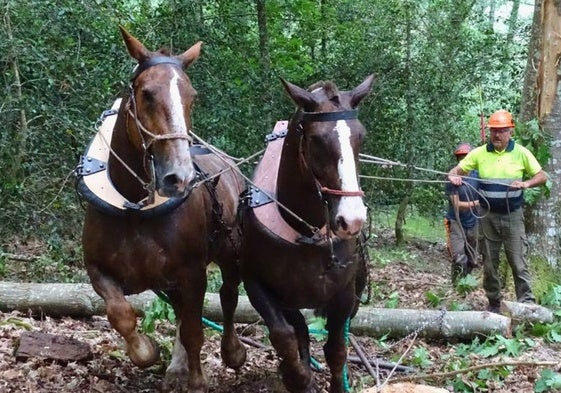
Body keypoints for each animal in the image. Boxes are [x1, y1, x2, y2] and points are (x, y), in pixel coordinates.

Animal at [79, 26, 245, 390]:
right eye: (146, 94)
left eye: (191, 96)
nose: (178, 177)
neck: (133, 208)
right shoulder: (98, 271)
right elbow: (121, 315)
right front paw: (147, 352)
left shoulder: (192, 272)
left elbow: (196, 329)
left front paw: (197, 379)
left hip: (231, 254)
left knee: (228, 297)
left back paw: (232, 352)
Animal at [238, 76, 374, 392]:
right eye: (316, 139)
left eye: (360, 137)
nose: (351, 220)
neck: (305, 231)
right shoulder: (257, 285)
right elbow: (284, 336)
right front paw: (299, 378)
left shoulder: (344, 294)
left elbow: (336, 348)